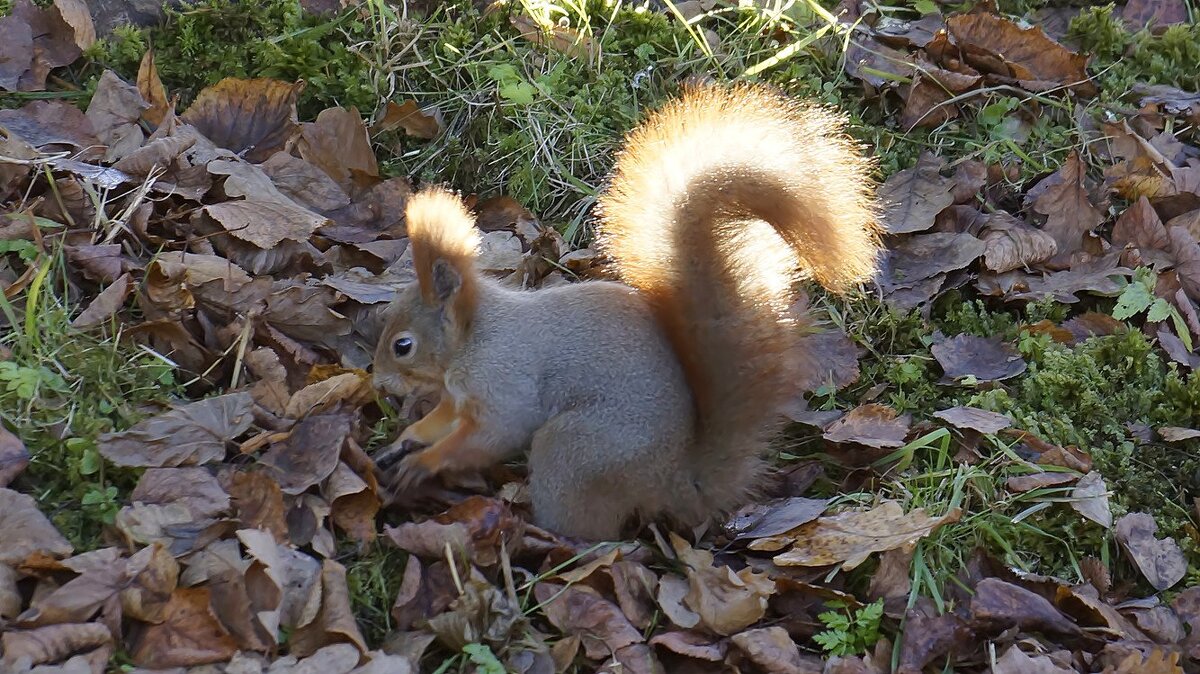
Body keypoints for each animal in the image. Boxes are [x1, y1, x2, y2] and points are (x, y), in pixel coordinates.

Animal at [369, 81, 878, 537]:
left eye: (403, 346)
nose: (376, 381)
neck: (475, 335)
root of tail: (675, 479)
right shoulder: (458, 396)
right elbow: (443, 422)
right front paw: (406, 442)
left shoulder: (504, 380)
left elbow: (494, 433)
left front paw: (425, 463)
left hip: (576, 451)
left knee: (592, 532)